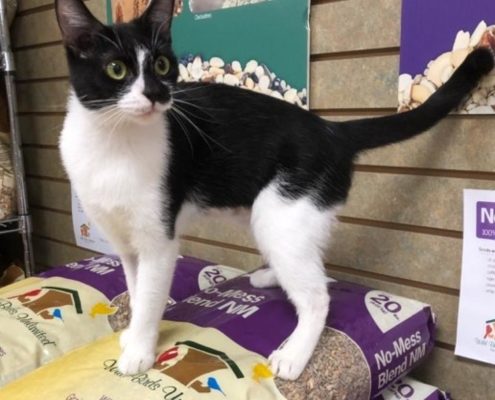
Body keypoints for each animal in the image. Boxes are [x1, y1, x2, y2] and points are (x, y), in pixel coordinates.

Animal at [55, 0, 492, 380]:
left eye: (162, 64)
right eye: (116, 69)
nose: (156, 94)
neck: (114, 142)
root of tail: (332, 130)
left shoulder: (158, 240)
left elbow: (149, 295)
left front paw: (140, 351)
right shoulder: (126, 243)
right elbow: (136, 286)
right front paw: (133, 336)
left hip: (282, 212)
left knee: (318, 295)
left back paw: (294, 354)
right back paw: (272, 278)